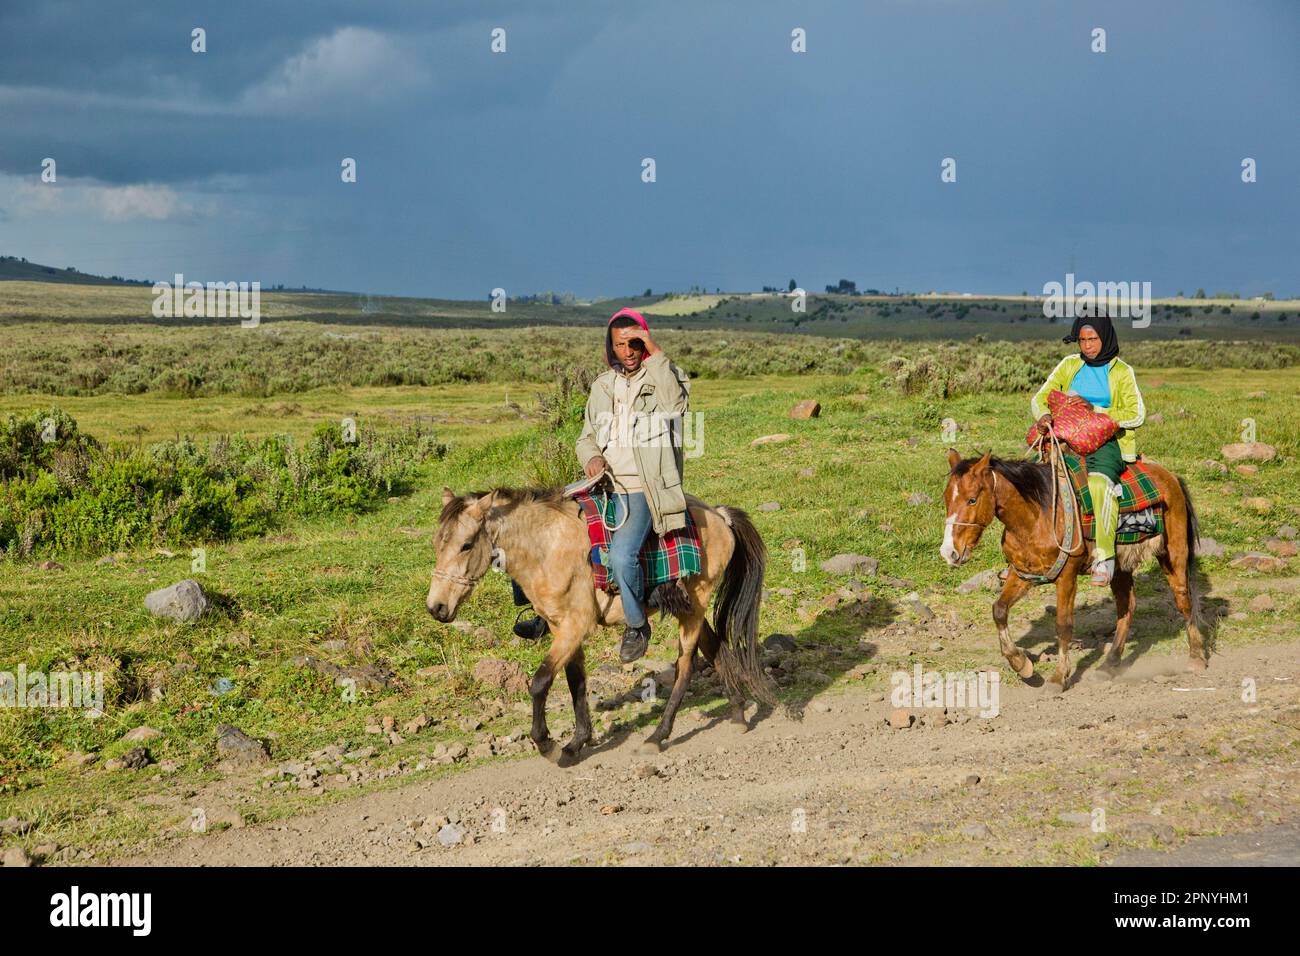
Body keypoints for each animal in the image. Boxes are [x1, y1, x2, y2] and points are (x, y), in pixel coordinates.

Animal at [426, 486, 774, 764]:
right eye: (436, 544)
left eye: (466, 544)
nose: (436, 607)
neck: (547, 548)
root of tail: (720, 517)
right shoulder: (561, 628)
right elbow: (575, 682)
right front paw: (576, 743)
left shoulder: (575, 626)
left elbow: (540, 682)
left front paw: (547, 744)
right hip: (689, 608)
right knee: (716, 650)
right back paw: (738, 714)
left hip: (695, 608)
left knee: (685, 668)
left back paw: (657, 736)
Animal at [935, 452, 1206, 691]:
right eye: (946, 498)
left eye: (972, 499)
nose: (949, 552)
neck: (1036, 518)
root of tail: (1170, 477)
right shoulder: (1022, 574)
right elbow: (999, 610)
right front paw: (1023, 666)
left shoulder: (1066, 577)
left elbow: (1063, 625)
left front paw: (1058, 678)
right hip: (1119, 567)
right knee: (1126, 607)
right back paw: (1109, 665)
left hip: (1173, 553)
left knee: (1183, 599)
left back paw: (1196, 657)